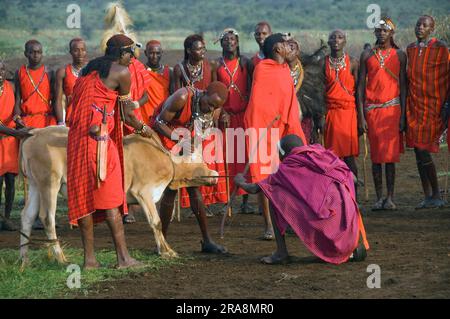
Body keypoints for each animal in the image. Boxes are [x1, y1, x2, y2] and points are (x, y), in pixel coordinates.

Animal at [19, 126, 218, 266]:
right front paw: (165, 251)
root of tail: (34, 133)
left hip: (35, 185)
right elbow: (156, 222)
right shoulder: (143, 192)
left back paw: (24, 259)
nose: (215, 175)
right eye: (199, 159)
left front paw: (166, 249)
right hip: (49, 183)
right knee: (47, 218)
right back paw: (60, 258)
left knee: (27, 216)